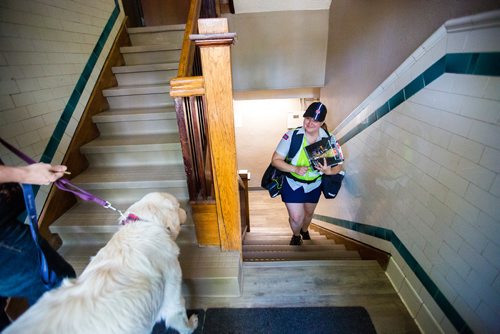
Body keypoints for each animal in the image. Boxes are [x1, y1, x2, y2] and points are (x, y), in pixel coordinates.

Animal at [5, 192, 199, 334]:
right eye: (178, 206)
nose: (187, 210)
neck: (143, 223)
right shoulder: (172, 292)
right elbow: (178, 316)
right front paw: (191, 324)